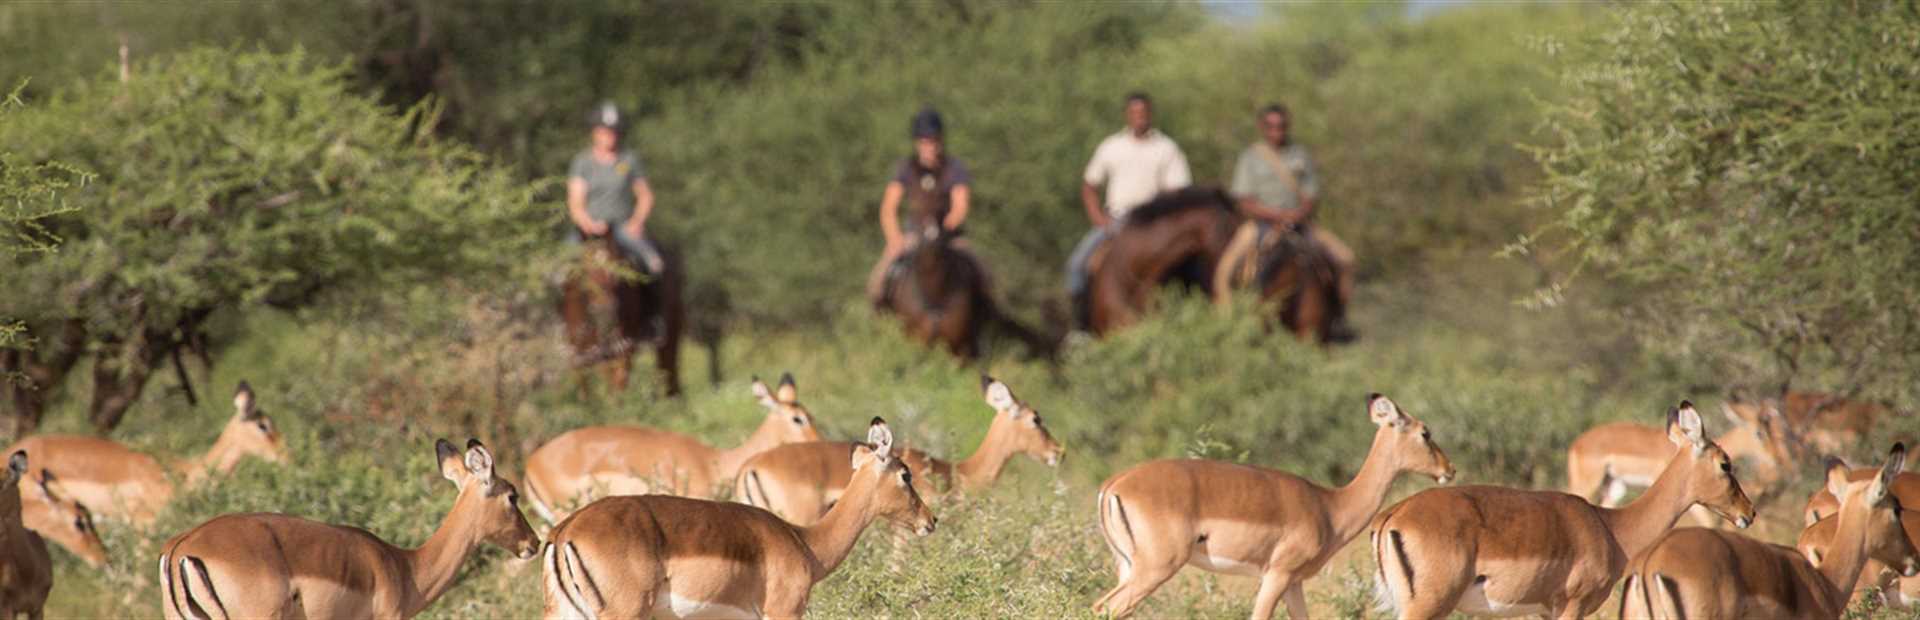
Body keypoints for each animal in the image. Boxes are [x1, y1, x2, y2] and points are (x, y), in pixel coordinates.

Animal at [560, 233, 687, 399]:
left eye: (616, 271)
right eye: (586, 271)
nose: (604, 311)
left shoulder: (621, 350)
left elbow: (616, 387)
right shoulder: (580, 355)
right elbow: (585, 388)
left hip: (670, 335)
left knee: (669, 376)